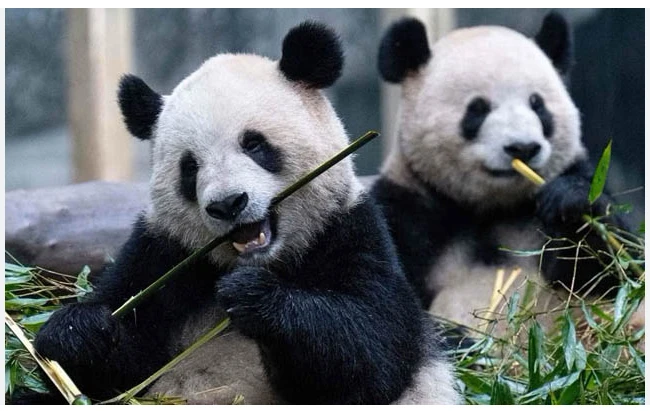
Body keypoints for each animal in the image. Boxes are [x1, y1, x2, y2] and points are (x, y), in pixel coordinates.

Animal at [33, 22, 460, 405]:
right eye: (190, 167)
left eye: (254, 144)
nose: (227, 204)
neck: (263, 260)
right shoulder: (164, 253)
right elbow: (127, 359)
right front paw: (76, 332)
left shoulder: (351, 232)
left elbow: (370, 357)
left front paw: (254, 296)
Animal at [371, 13, 631, 333]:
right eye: (478, 109)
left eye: (537, 105)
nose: (523, 147)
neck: (492, 208)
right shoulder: (407, 209)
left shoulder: (577, 179)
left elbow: (607, 275)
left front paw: (571, 203)